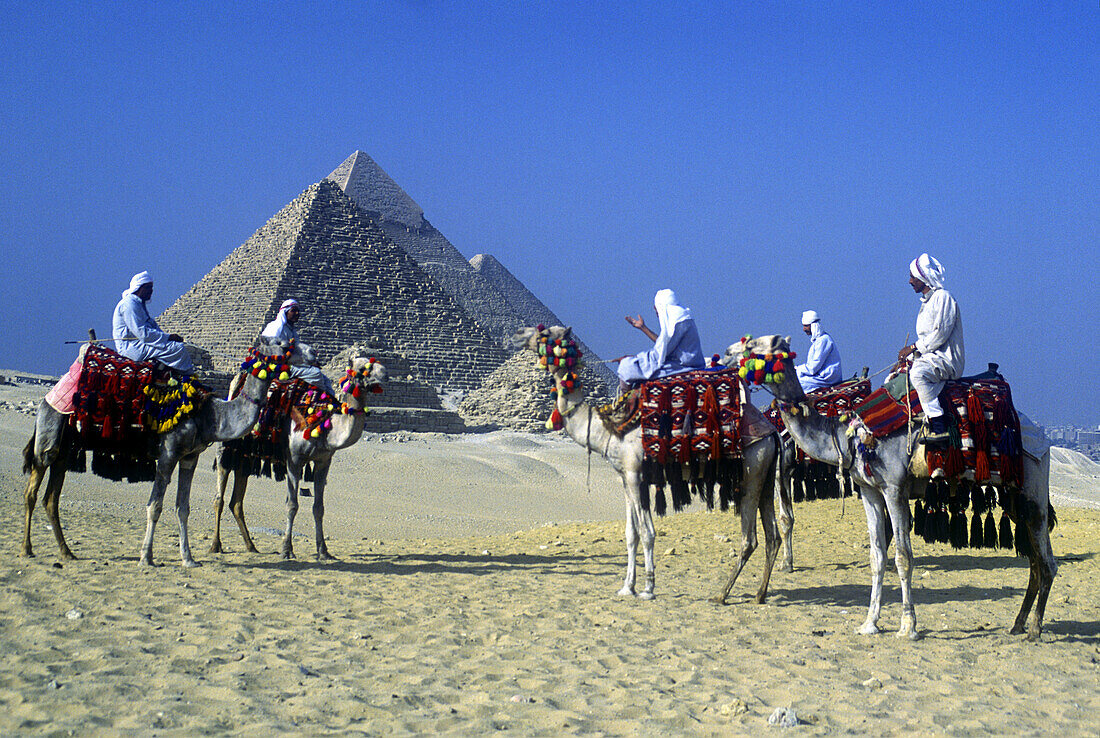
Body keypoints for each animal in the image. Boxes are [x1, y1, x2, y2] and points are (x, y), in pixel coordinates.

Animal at [20, 338, 305, 567]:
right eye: (281, 343)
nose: (311, 354)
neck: (210, 413)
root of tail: (50, 394)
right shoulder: (168, 453)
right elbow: (155, 506)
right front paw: (146, 557)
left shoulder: (189, 457)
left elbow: (183, 507)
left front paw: (188, 558)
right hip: (49, 434)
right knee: (32, 491)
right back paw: (27, 549)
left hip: (66, 448)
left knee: (51, 498)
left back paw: (66, 552)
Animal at [210, 356, 387, 560]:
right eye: (362, 367)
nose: (384, 373)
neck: (324, 423)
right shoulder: (294, 459)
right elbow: (292, 505)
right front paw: (287, 549)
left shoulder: (323, 461)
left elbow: (319, 508)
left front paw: (323, 551)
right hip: (226, 446)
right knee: (219, 498)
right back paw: (215, 545)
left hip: (246, 455)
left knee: (237, 501)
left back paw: (251, 546)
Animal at [514, 325, 783, 602]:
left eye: (545, 333)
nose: (518, 334)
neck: (608, 428)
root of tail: (771, 432)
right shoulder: (626, 478)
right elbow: (630, 534)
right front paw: (627, 587)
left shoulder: (634, 474)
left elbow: (647, 533)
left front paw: (648, 588)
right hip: (765, 474)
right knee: (773, 536)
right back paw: (760, 594)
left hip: (751, 471)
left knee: (750, 539)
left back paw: (721, 594)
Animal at [730, 334, 1056, 642]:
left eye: (761, 345)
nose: (732, 353)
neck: (846, 434)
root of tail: (1038, 431)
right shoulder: (870, 490)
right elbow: (877, 557)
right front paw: (869, 624)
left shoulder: (893, 488)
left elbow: (903, 557)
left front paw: (908, 627)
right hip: (1013, 495)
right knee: (1034, 561)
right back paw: (1017, 624)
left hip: (1034, 485)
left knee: (1047, 560)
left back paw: (1034, 629)